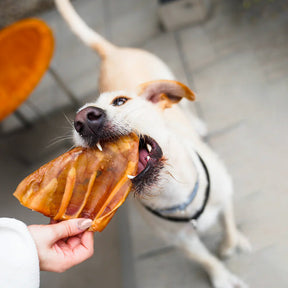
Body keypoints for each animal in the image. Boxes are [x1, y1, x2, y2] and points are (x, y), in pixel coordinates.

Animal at [55, 1, 251, 286]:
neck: (171, 191)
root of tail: (112, 52)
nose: (84, 119)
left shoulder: (225, 197)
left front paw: (233, 243)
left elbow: (228, 225)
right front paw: (221, 276)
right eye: (74, 125)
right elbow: (206, 260)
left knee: (187, 108)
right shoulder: (182, 243)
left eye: (120, 101)